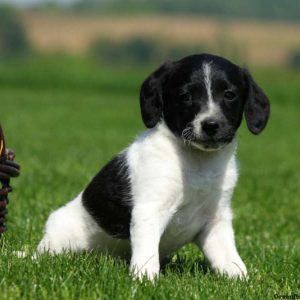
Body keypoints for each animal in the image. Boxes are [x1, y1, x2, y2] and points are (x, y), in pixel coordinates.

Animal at [37, 53, 270, 278]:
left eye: (229, 95)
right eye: (186, 96)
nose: (211, 125)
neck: (198, 162)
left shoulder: (216, 220)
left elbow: (230, 260)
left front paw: (242, 279)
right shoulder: (149, 211)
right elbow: (147, 254)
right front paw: (145, 279)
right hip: (60, 237)